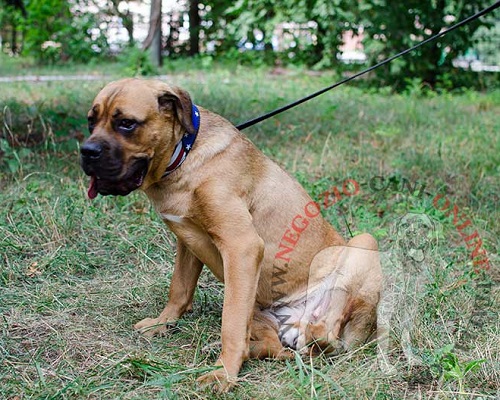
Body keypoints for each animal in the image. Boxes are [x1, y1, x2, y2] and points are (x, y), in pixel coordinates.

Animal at [80, 77, 380, 390]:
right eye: (91, 121)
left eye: (127, 123)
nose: (86, 151)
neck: (184, 156)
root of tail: (296, 318)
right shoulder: (186, 241)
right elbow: (179, 288)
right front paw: (163, 323)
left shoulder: (241, 246)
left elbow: (231, 322)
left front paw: (223, 373)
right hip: (259, 310)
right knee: (273, 347)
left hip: (363, 242)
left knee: (326, 334)